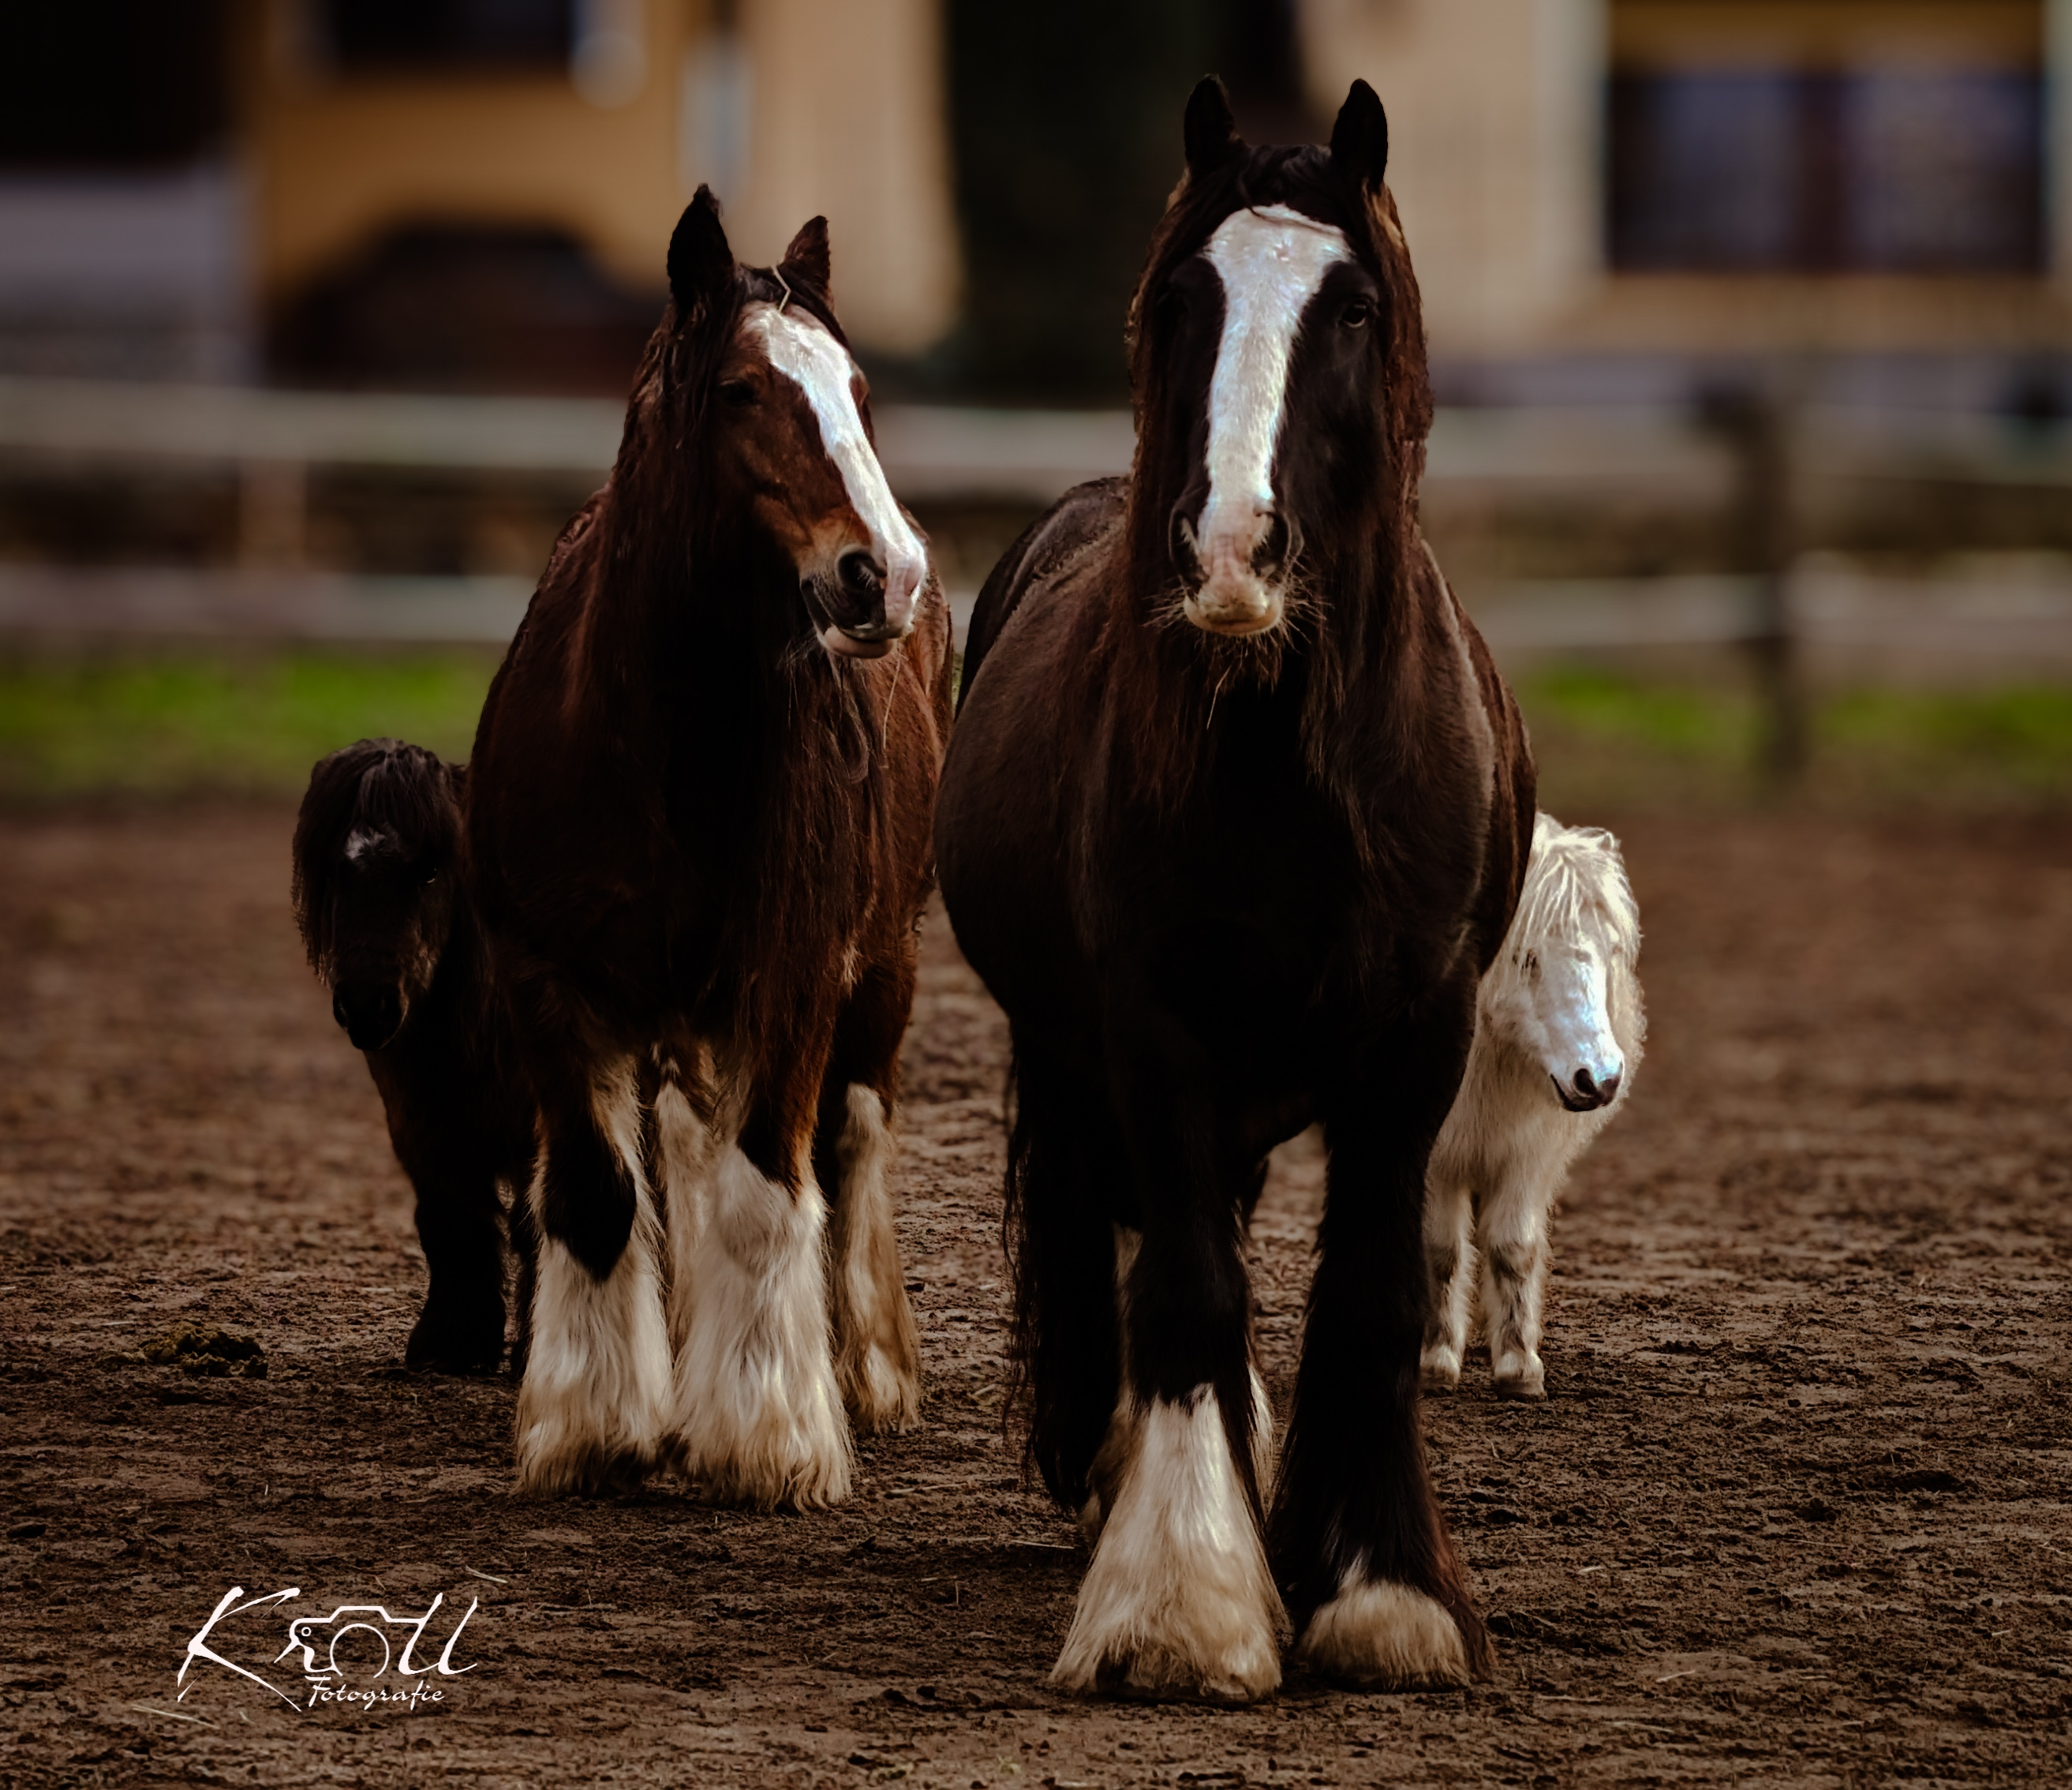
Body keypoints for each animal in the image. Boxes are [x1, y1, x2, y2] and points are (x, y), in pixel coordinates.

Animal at [290, 738, 537, 1374]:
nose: (366, 1003)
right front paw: (452, 1344)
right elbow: (452, 1224)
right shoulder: (422, 1123)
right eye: (336, 869)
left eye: (429, 871)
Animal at [465, 188, 953, 1506]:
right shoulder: (543, 978)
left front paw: (769, 1432)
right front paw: (594, 1428)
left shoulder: (792, 979)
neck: (658, 744)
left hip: (881, 971)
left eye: (858, 390)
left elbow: (765, 1192)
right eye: (741, 389)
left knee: (849, 1140)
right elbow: (595, 1196)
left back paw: (865, 1370)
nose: (884, 574)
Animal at [934, 78, 1535, 1700]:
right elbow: (1192, 1288)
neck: (1285, 761)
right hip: (1079, 1056)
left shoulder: (1417, 1037)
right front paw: (1184, 1603)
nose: (1227, 548)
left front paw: (1380, 1589)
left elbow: (1371, 1294)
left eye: (1353, 306)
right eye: (1180, 300)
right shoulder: (1153, 1031)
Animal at [1421, 813, 1644, 1400]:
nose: (1600, 1078)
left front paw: (1519, 1366)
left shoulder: (1527, 1153)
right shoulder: (1434, 1156)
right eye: (1525, 958)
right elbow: (1440, 1251)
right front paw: (1435, 1361)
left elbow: (1512, 1248)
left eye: (1612, 950)